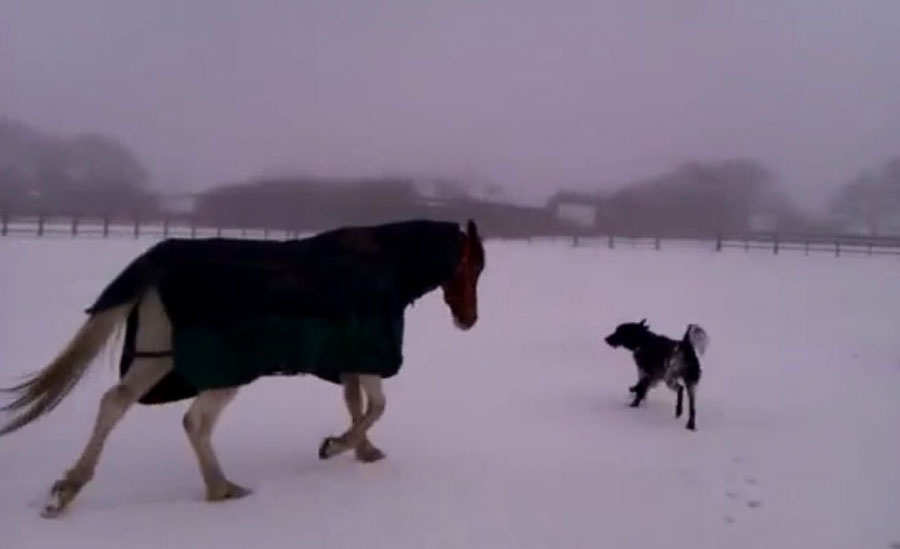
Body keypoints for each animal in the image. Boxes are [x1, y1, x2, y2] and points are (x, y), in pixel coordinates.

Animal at [0, 216, 486, 516]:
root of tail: (155, 262)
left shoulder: (348, 359)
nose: (469, 320)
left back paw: (68, 488)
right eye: (474, 264)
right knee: (194, 421)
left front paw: (363, 451)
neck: (385, 263)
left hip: (159, 357)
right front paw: (336, 445)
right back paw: (221, 488)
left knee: (113, 403)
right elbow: (376, 407)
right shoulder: (368, 356)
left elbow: (356, 405)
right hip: (220, 371)